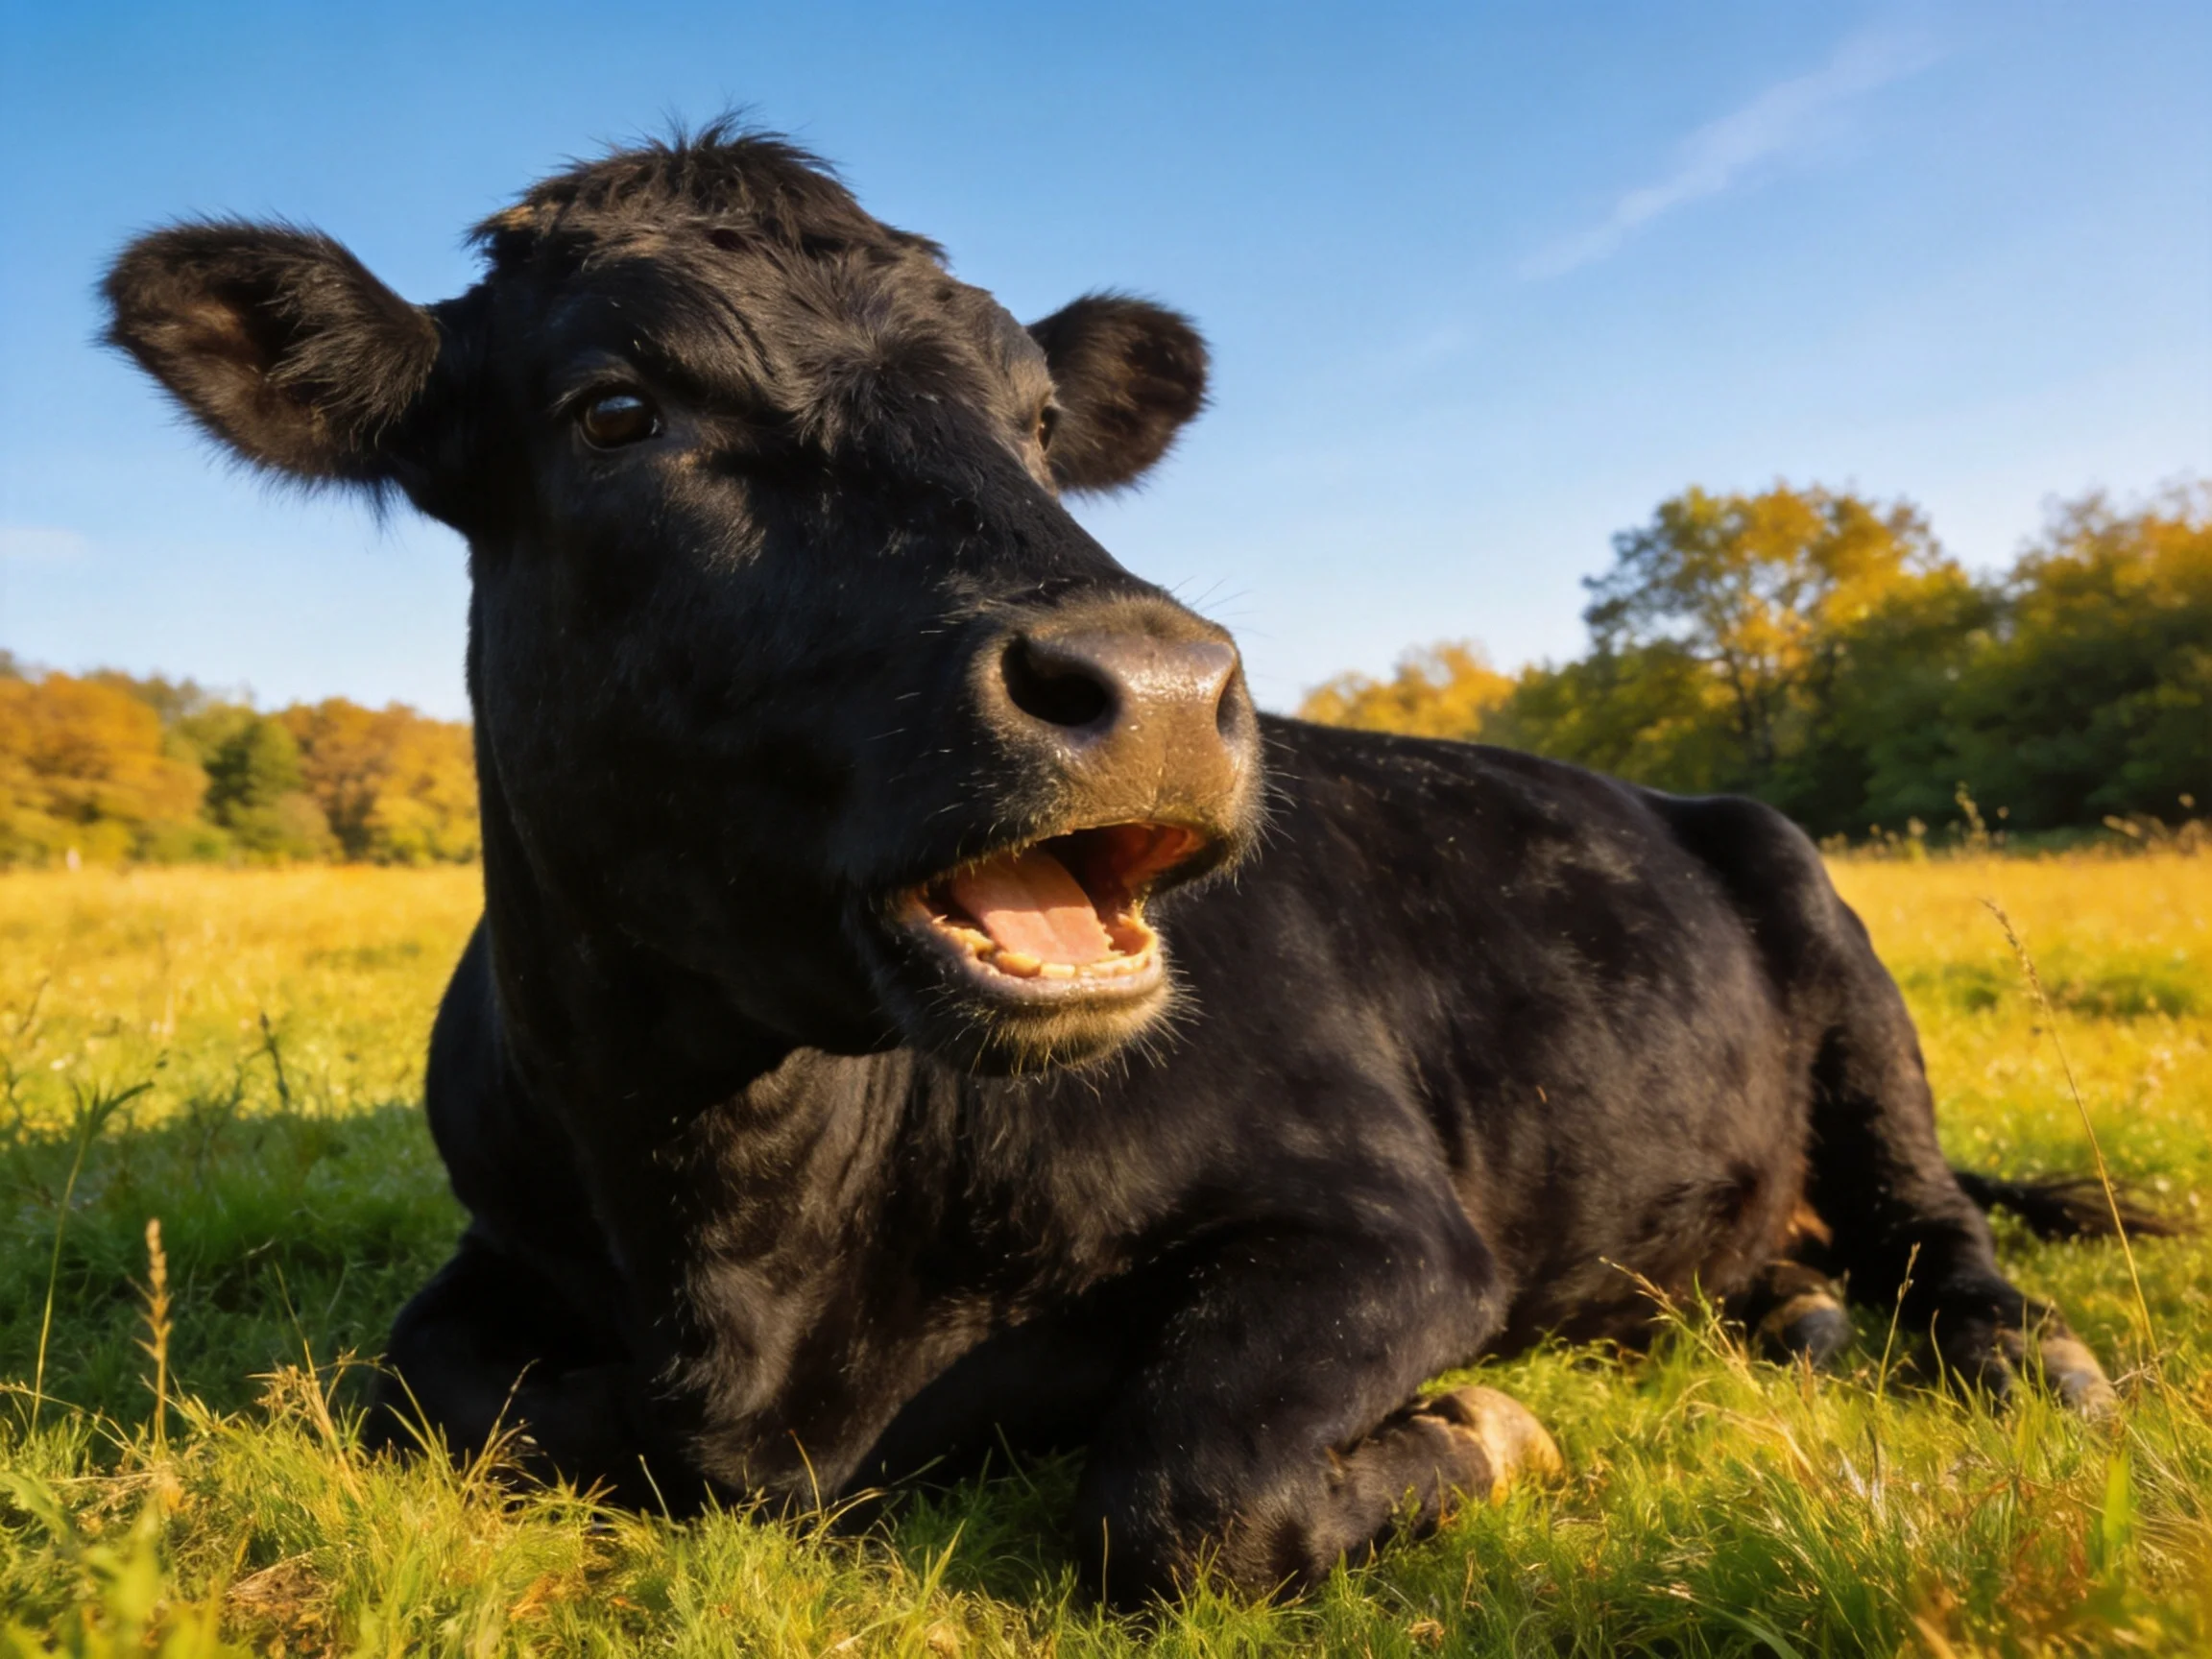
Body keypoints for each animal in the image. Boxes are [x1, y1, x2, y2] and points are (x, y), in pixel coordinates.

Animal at [103, 125, 2119, 1608]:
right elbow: (427, 1393)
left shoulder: (1384, 1219)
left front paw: (1486, 1429)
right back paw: (1795, 1311)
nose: (1154, 681)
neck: (747, 1247)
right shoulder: (494, 1253)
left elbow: (1179, 1492)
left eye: (1037, 425)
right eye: (616, 410)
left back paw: (2020, 1356)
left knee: (1928, 1213)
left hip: (1820, 930)